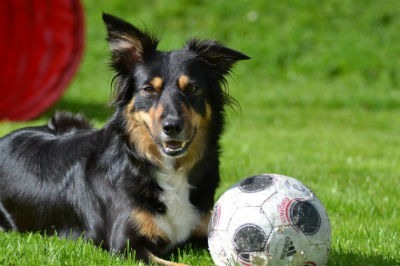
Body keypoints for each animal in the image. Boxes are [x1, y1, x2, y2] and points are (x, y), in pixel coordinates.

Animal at [0, 13, 248, 264]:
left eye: (193, 88)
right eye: (149, 90)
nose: (172, 127)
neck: (164, 167)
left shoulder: (206, 231)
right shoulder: (127, 246)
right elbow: (178, 263)